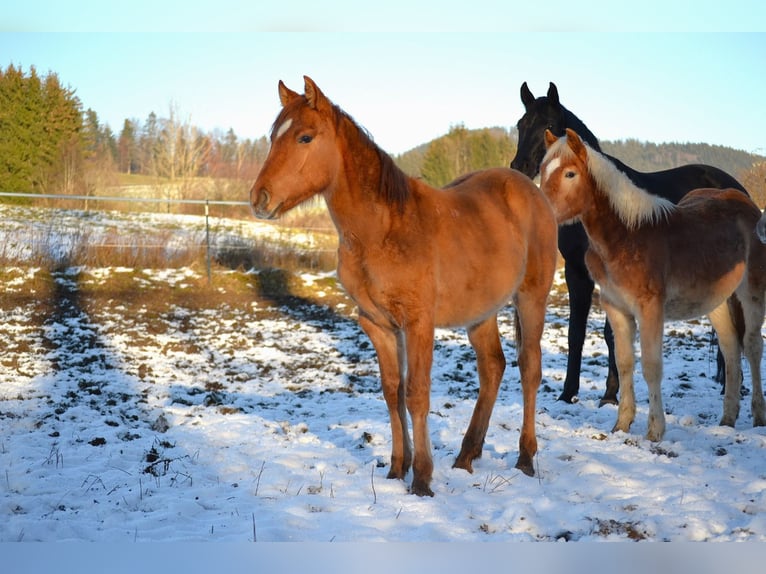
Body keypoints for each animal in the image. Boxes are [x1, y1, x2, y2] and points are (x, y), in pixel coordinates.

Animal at [252, 77, 560, 500]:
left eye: (305, 137)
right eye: (272, 136)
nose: (259, 198)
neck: (383, 230)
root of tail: (532, 191)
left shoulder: (418, 324)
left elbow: (416, 393)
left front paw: (423, 479)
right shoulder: (378, 325)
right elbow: (392, 392)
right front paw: (398, 468)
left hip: (531, 298)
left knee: (529, 368)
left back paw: (526, 457)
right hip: (480, 312)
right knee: (492, 368)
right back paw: (466, 456)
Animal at [510, 82, 752, 404]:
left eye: (548, 125)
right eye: (521, 124)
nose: (519, 166)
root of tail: (736, 188)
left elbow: (611, 333)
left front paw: (611, 394)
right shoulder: (576, 272)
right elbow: (576, 334)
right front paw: (568, 393)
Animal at [540, 130, 766, 444]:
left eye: (570, 173)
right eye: (542, 169)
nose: (541, 210)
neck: (626, 237)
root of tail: (747, 204)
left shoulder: (650, 309)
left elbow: (651, 366)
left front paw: (655, 430)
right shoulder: (616, 308)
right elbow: (624, 363)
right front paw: (621, 425)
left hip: (750, 294)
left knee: (753, 346)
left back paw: (758, 417)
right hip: (718, 301)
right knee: (731, 348)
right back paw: (727, 420)